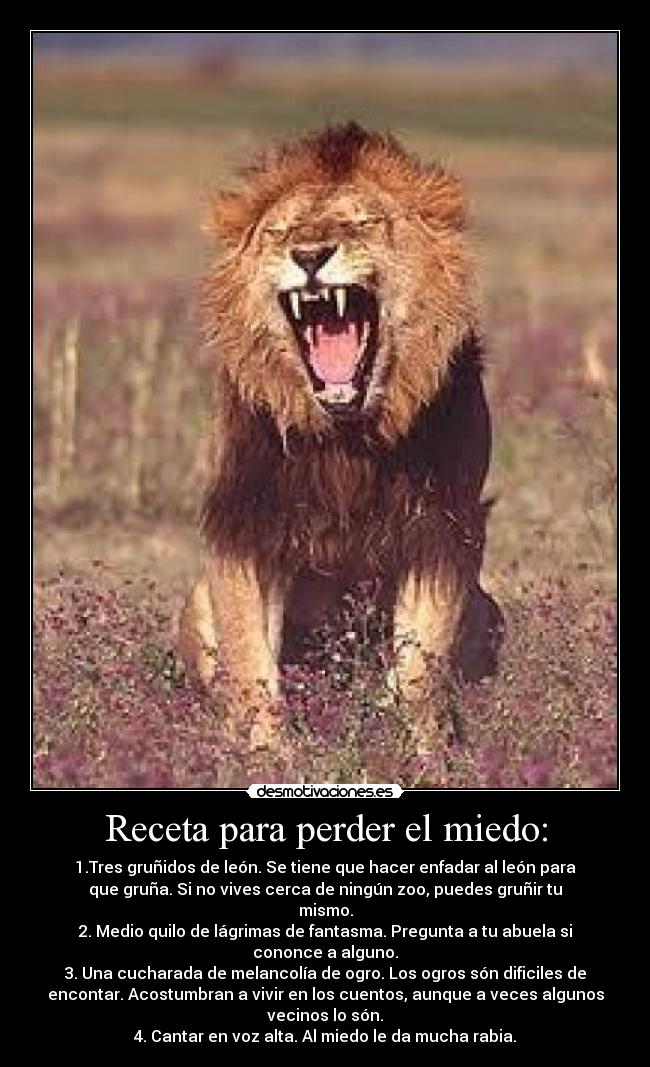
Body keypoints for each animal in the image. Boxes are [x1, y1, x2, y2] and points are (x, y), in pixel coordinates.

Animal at [179, 122, 503, 749]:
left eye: (363, 223)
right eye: (280, 233)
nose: (308, 256)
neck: (347, 436)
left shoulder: (443, 526)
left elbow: (420, 668)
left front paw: (424, 752)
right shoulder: (244, 520)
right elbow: (250, 662)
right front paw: (263, 755)